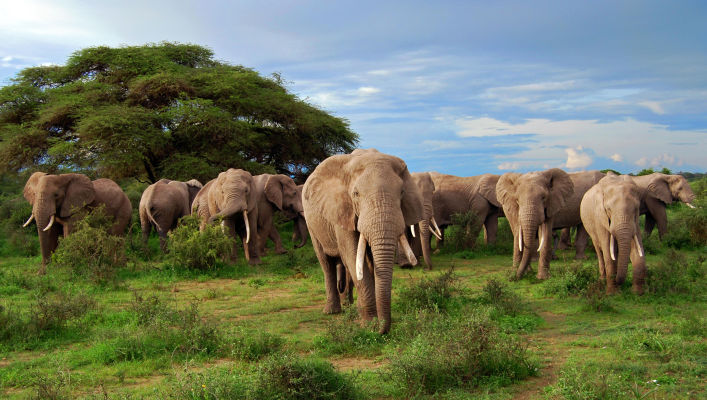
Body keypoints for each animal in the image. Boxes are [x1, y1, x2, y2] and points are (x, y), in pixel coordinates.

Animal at [302, 148, 424, 332]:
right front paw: (369, 324)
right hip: (311, 223)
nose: (381, 331)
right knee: (326, 262)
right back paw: (332, 311)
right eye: (356, 194)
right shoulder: (343, 209)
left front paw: (371, 321)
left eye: (402, 192)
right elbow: (352, 254)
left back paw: (349, 305)